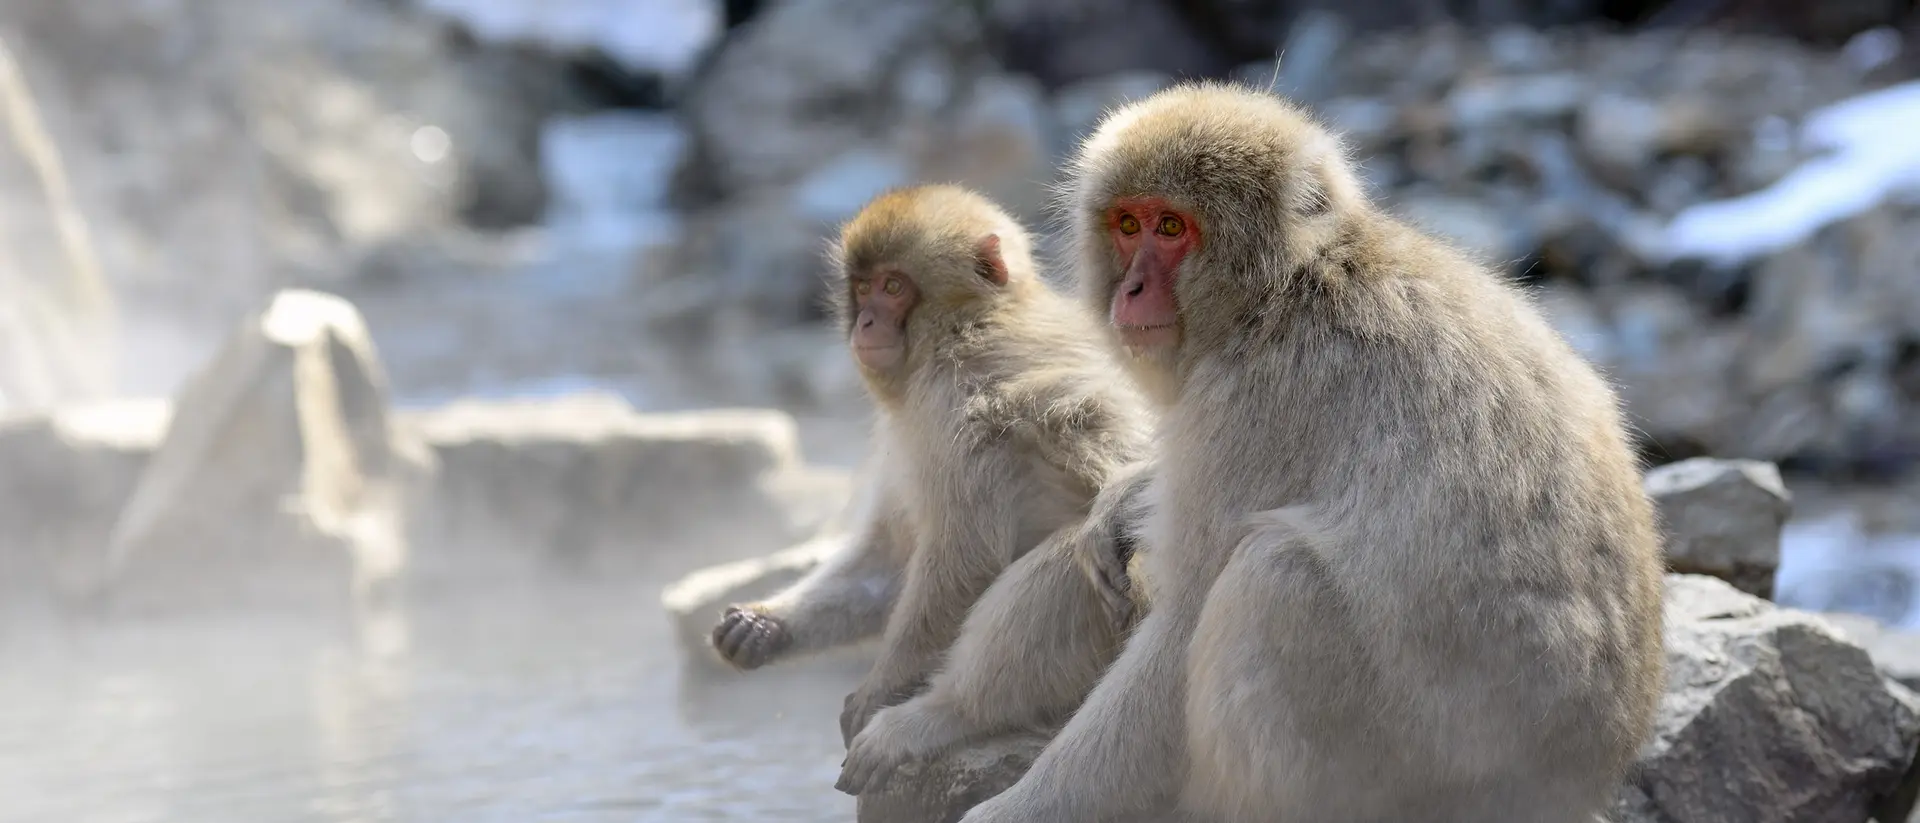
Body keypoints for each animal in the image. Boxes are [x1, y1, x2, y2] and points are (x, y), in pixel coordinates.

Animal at [705, 184, 1155, 748]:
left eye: (894, 286)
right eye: (863, 287)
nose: (866, 322)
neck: (966, 324)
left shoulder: (951, 400)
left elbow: (964, 557)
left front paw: (881, 690)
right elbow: (891, 559)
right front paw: (765, 625)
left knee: (1080, 548)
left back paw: (947, 714)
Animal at [952, 82, 1666, 823]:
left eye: (1171, 228)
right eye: (1127, 224)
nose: (1131, 291)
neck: (1287, 289)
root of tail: (1584, 775)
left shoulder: (1255, 398)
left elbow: (1182, 624)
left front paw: (1014, 810)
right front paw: (1125, 499)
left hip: (1435, 765)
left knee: (1275, 576)